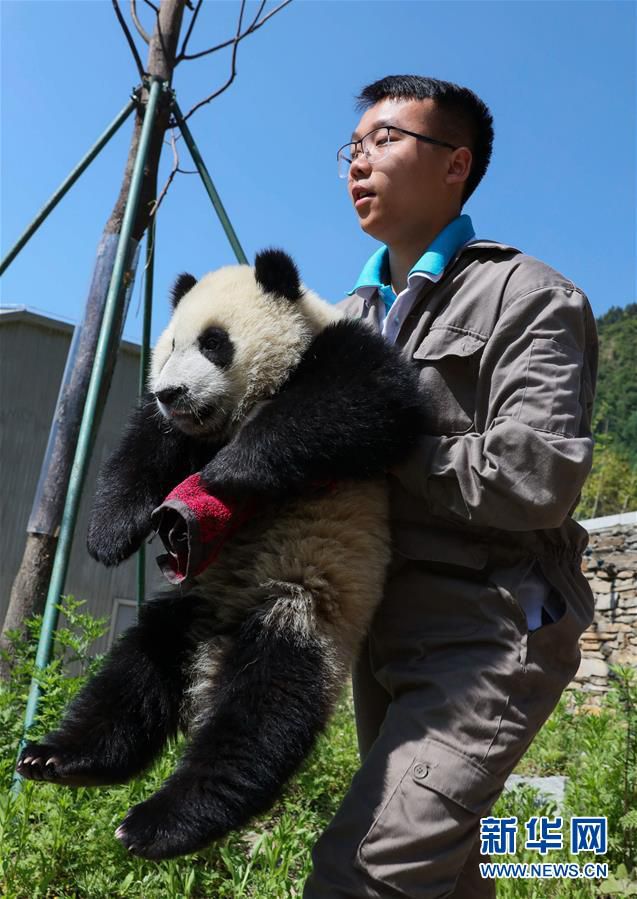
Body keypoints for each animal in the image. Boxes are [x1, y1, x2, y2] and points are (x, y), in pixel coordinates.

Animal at [18, 250, 428, 860]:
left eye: (214, 343)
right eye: (167, 347)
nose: (171, 392)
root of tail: (217, 643)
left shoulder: (345, 353)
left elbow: (364, 402)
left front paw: (229, 470)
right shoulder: (169, 430)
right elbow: (143, 450)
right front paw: (109, 533)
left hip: (298, 604)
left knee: (263, 712)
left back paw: (162, 821)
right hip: (191, 607)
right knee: (135, 673)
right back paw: (63, 759)